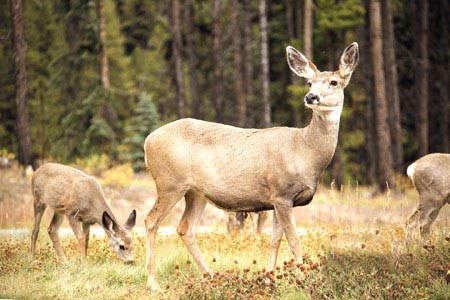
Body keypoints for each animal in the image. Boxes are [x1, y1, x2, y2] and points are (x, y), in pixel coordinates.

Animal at [143, 42, 358, 290]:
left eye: (334, 82)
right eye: (309, 82)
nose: (311, 96)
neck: (305, 151)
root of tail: (148, 141)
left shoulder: (278, 199)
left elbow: (275, 239)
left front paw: (268, 279)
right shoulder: (282, 192)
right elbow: (294, 239)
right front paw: (303, 280)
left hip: (195, 193)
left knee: (185, 228)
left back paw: (212, 276)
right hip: (170, 183)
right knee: (151, 221)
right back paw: (153, 283)